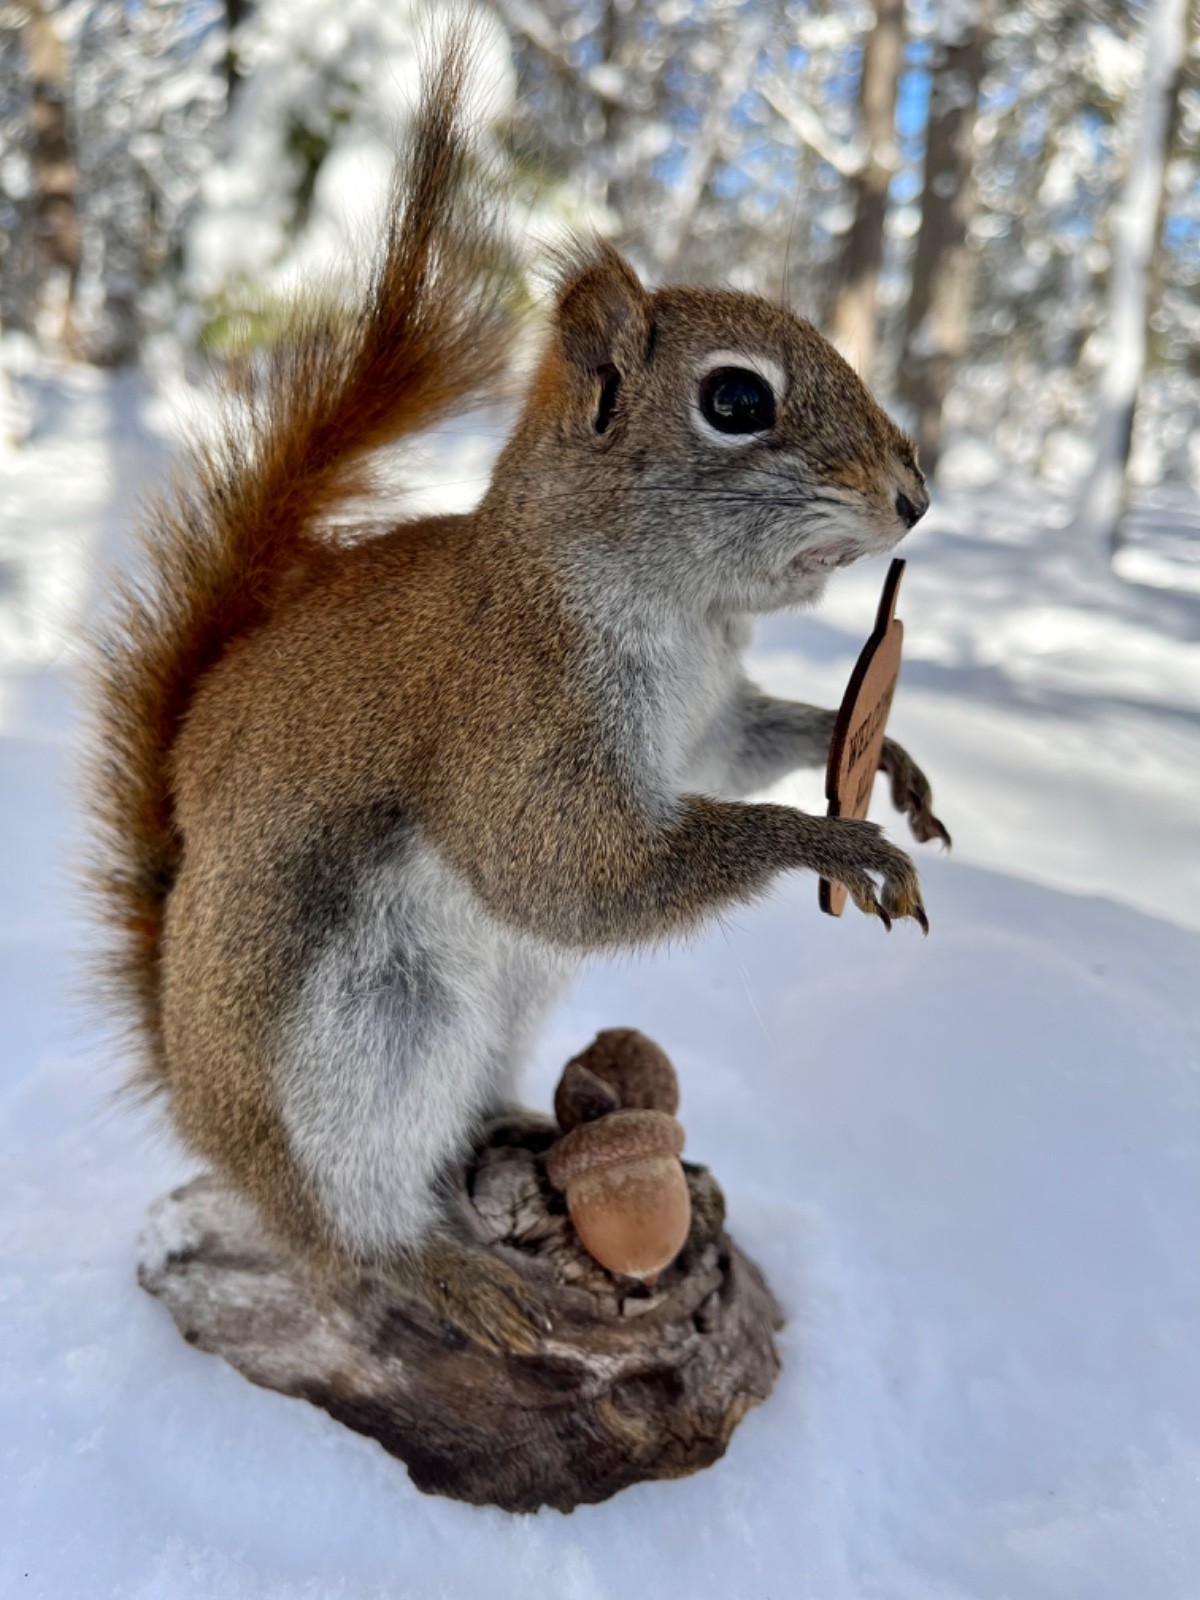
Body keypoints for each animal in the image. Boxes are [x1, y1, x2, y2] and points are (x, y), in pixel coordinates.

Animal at [86, 36, 948, 1353]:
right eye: (736, 401)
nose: (915, 495)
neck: (681, 615)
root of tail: (195, 1098)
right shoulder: (507, 713)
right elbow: (562, 869)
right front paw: (829, 840)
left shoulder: (703, 720)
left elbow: (746, 745)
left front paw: (881, 762)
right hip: (361, 1044)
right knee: (341, 1236)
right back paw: (435, 1270)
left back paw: (527, 1128)